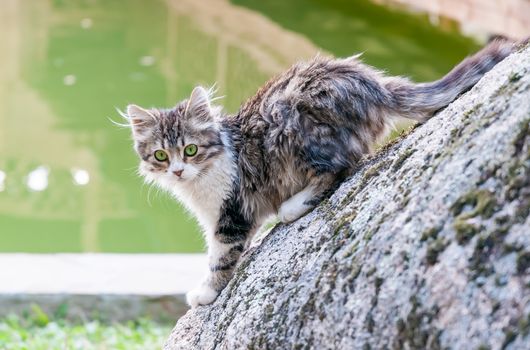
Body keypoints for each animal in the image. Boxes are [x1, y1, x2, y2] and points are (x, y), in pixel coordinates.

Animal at [127, 39, 516, 306]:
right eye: (161, 155)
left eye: (191, 150)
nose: (178, 171)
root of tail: (372, 84)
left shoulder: (230, 215)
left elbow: (220, 259)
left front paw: (205, 294)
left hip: (296, 127)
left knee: (341, 167)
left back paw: (292, 207)